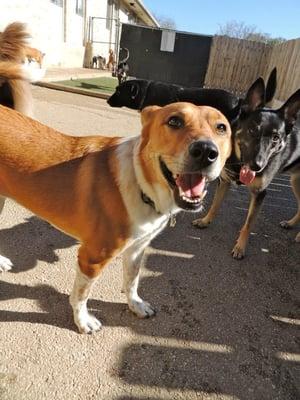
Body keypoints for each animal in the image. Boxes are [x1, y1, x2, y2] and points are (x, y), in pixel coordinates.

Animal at [0, 102, 232, 332]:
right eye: (174, 121)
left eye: (221, 127)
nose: (206, 151)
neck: (140, 184)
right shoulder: (92, 258)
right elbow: (81, 295)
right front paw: (83, 321)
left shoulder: (137, 248)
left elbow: (132, 280)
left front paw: (136, 305)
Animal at [193, 76, 298, 260]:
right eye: (252, 130)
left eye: (276, 138)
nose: (257, 166)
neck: (239, 163)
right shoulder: (224, 182)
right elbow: (215, 204)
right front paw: (205, 221)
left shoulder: (260, 194)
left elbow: (248, 223)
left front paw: (240, 247)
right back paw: (291, 224)